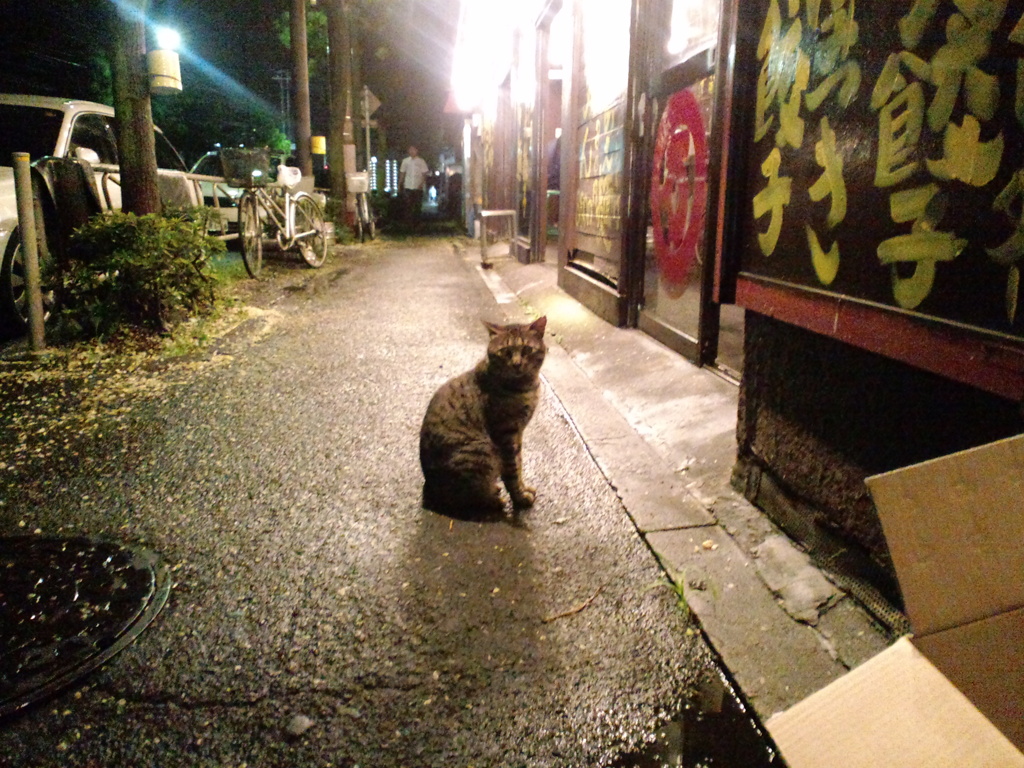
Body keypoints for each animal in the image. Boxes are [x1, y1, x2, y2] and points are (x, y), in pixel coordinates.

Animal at [419, 315, 548, 520]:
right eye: (505, 352)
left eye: (527, 349)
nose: (516, 364)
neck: (526, 386)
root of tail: (429, 488)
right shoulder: (506, 434)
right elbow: (512, 471)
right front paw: (519, 498)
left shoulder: (517, 434)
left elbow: (519, 465)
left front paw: (523, 488)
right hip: (484, 450)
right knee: (465, 499)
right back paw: (494, 500)